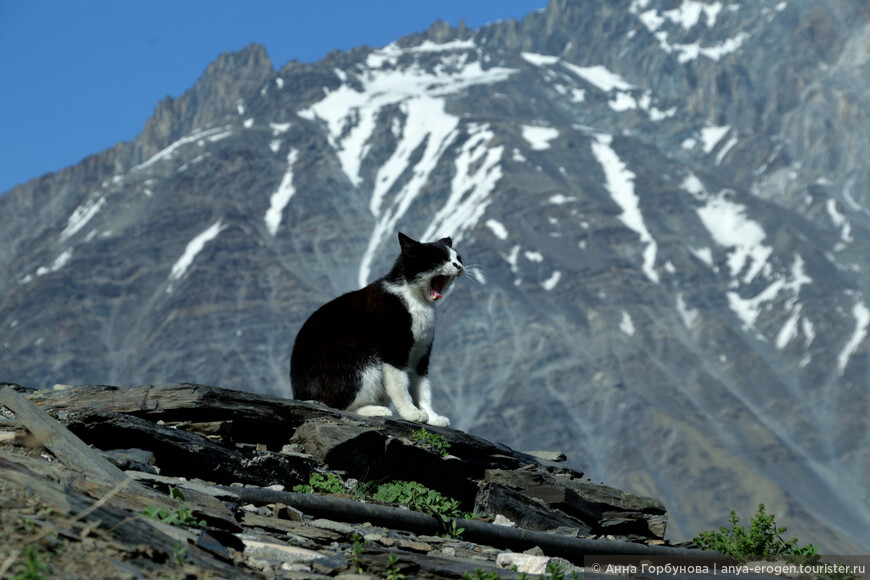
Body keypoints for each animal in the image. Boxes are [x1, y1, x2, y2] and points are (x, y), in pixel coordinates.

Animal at [290, 231, 464, 426]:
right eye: (439, 259)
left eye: (458, 258)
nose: (459, 266)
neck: (417, 300)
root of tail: (298, 394)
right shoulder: (394, 348)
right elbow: (400, 384)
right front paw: (412, 413)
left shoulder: (421, 353)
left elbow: (422, 388)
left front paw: (432, 417)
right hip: (356, 351)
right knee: (335, 404)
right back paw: (377, 410)